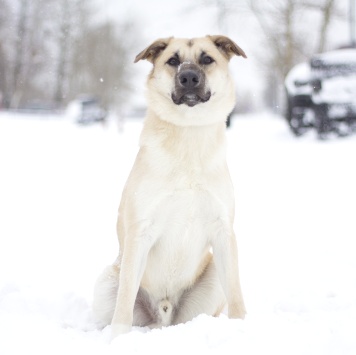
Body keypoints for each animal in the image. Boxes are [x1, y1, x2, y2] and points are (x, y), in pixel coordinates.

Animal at [93, 34, 246, 340]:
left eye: (207, 58)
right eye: (173, 61)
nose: (188, 77)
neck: (188, 135)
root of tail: (164, 312)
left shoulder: (223, 231)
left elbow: (237, 295)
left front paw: (242, 328)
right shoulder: (140, 232)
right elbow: (125, 300)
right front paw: (118, 340)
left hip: (212, 278)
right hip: (106, 282)